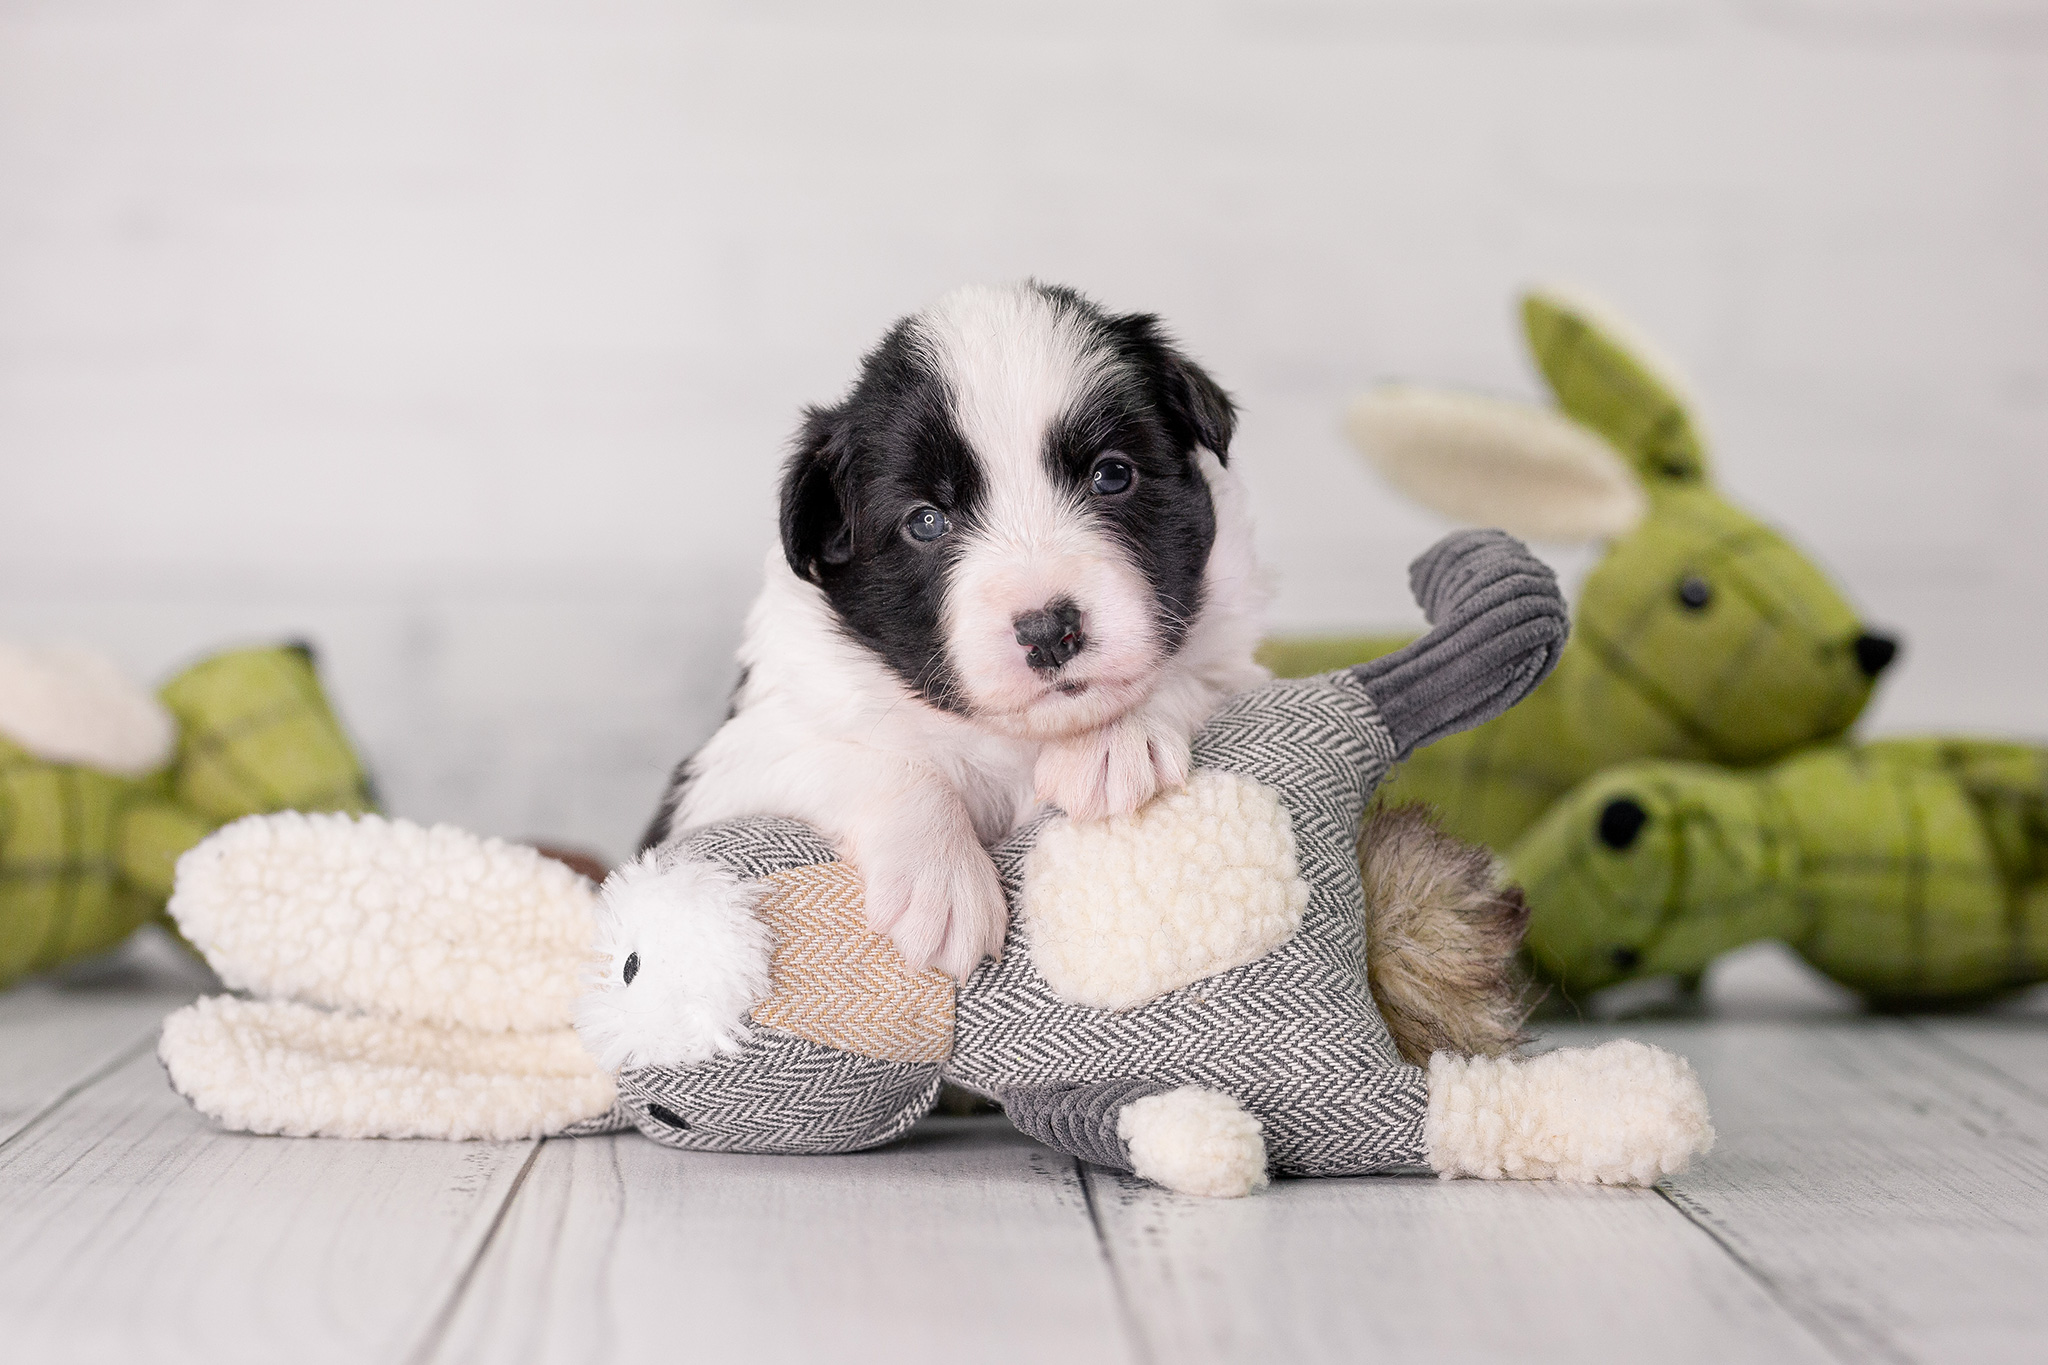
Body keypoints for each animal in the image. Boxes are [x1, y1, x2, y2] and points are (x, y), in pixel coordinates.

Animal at [585, 280, 1269, 1064]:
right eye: (925, 522)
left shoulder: (1237, 661)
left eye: (1113, 475)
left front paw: (1111, 739)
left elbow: (1188, 674)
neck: (1010, 735)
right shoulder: (727, 768)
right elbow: (875, 760)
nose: (1049, 631)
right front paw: (943, 884)